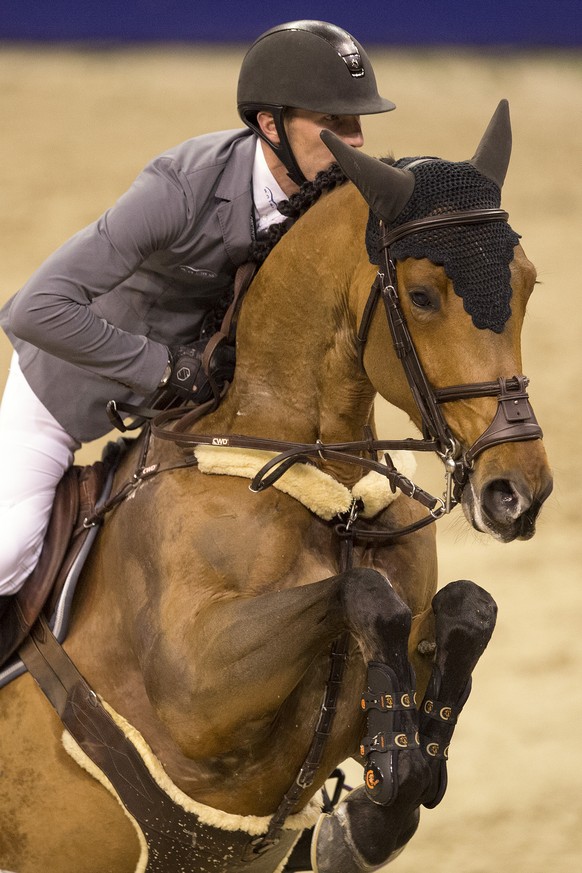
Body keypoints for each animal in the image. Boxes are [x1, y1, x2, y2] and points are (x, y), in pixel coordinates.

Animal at [0, 104, 556, 872]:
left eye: (527, 284)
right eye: (421, 296)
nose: (517, 493)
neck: (331, 494)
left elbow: (470, 607)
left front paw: (379, 800)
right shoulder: (197, 690)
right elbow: (365, 594)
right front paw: (388, 777)